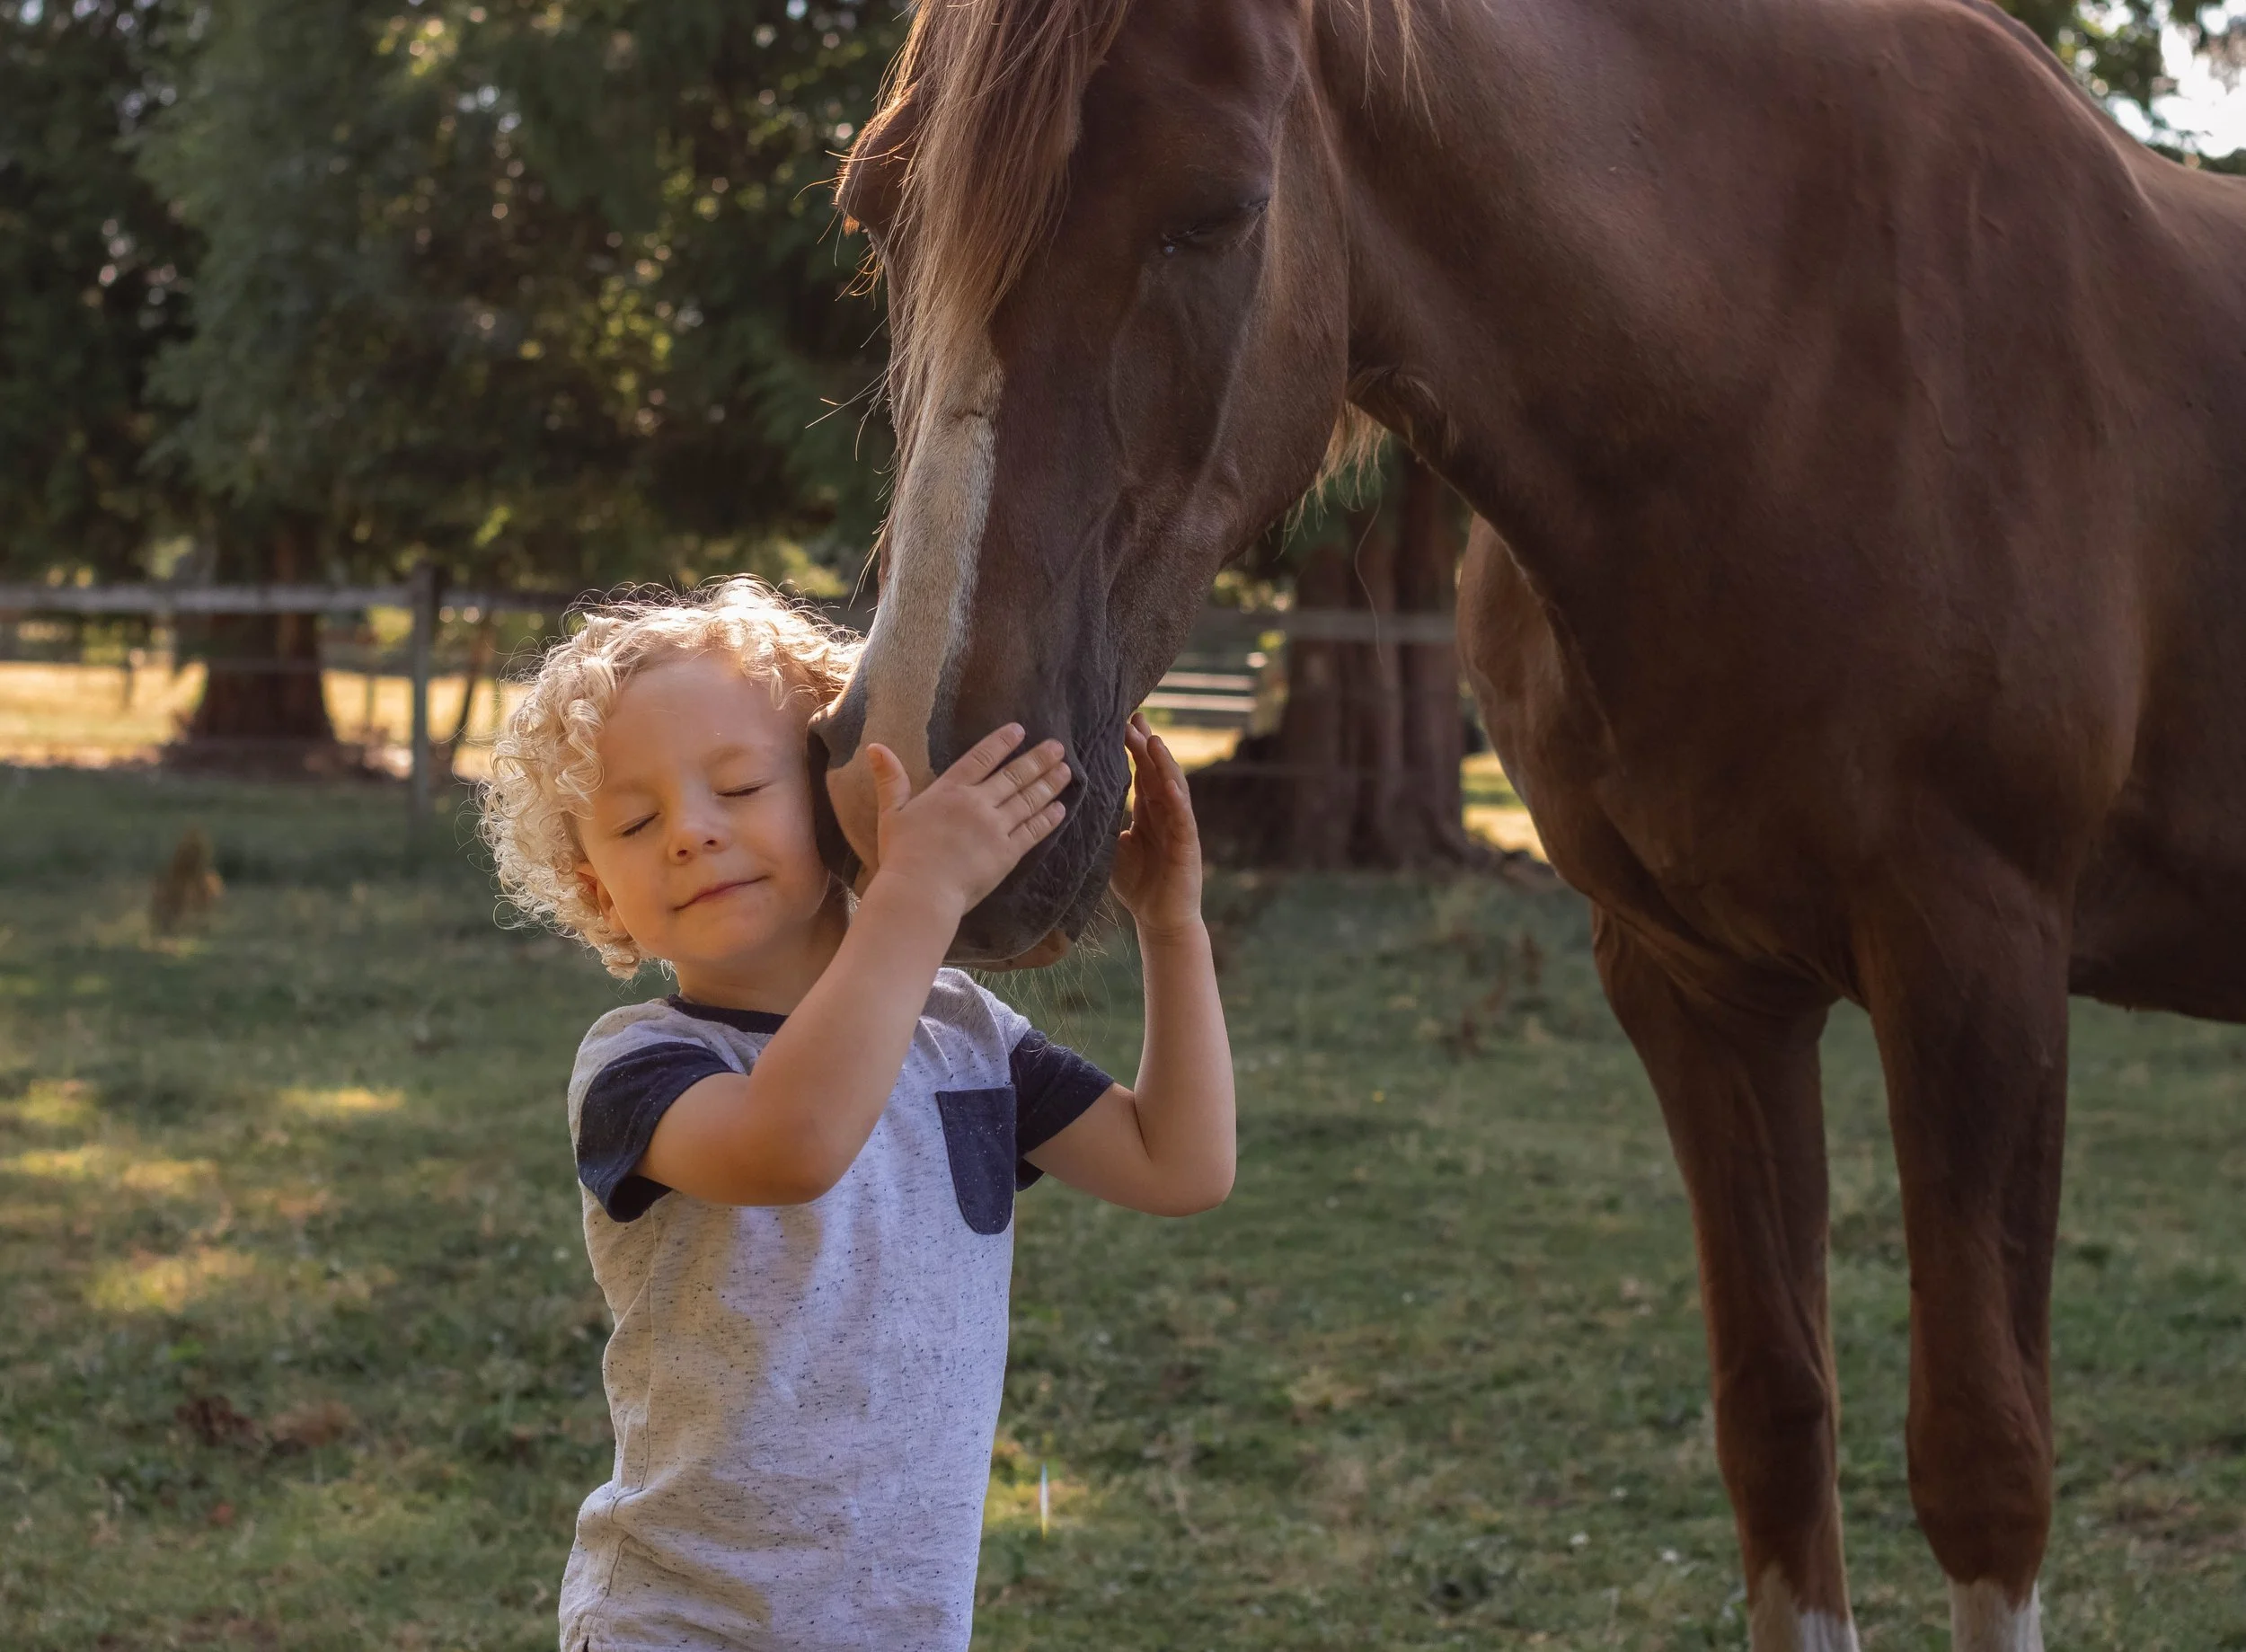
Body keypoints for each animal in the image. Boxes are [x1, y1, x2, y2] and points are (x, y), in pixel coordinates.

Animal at [808, 0, 2246, 1645]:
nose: (900, 779)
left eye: (1215, 209)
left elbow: (1984, 1460)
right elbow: (1776, 1422)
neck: (1795, 379)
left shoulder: (1980, 970)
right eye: (875, 212)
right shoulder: (1699, 990)